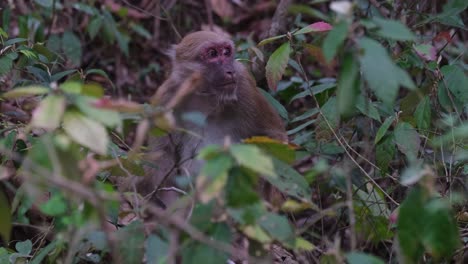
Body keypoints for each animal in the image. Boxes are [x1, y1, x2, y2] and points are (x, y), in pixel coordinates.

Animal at [133, 31, 288, 210]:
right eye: (212, 54)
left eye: (226, 52)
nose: (230, 71)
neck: (206, 97)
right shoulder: (166, 98)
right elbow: (162, 158)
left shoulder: (244, 85)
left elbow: (274, 137)